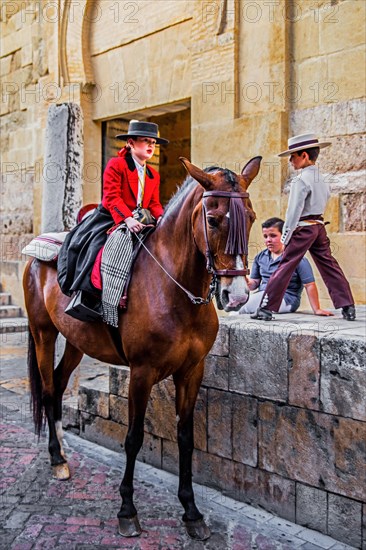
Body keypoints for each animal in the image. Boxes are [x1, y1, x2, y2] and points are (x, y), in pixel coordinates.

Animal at [23, 156, 260, 544]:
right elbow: (133, 438)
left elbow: (185, 437)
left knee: (57, 385)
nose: (237, 295)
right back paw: (57, 460)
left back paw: (62, 451)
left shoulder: (192, 371)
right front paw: (127, 510)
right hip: (43, 333)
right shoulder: (141, 372)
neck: (174, 289)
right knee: (45, 389)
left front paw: (191, 511)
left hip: (75, 341)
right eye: (212, 219)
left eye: (251, 216)